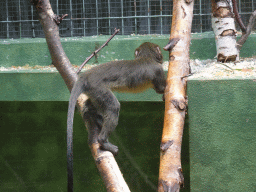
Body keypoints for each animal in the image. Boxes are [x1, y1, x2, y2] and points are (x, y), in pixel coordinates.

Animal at [66, 42, 166, 192]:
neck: (146, 57)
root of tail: (87, 75)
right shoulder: (158, 70)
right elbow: (161, 89)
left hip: (93, 91)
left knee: (89, 105)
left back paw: (91, 115)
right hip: (98, 88)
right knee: (113, 106)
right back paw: (103, 140)